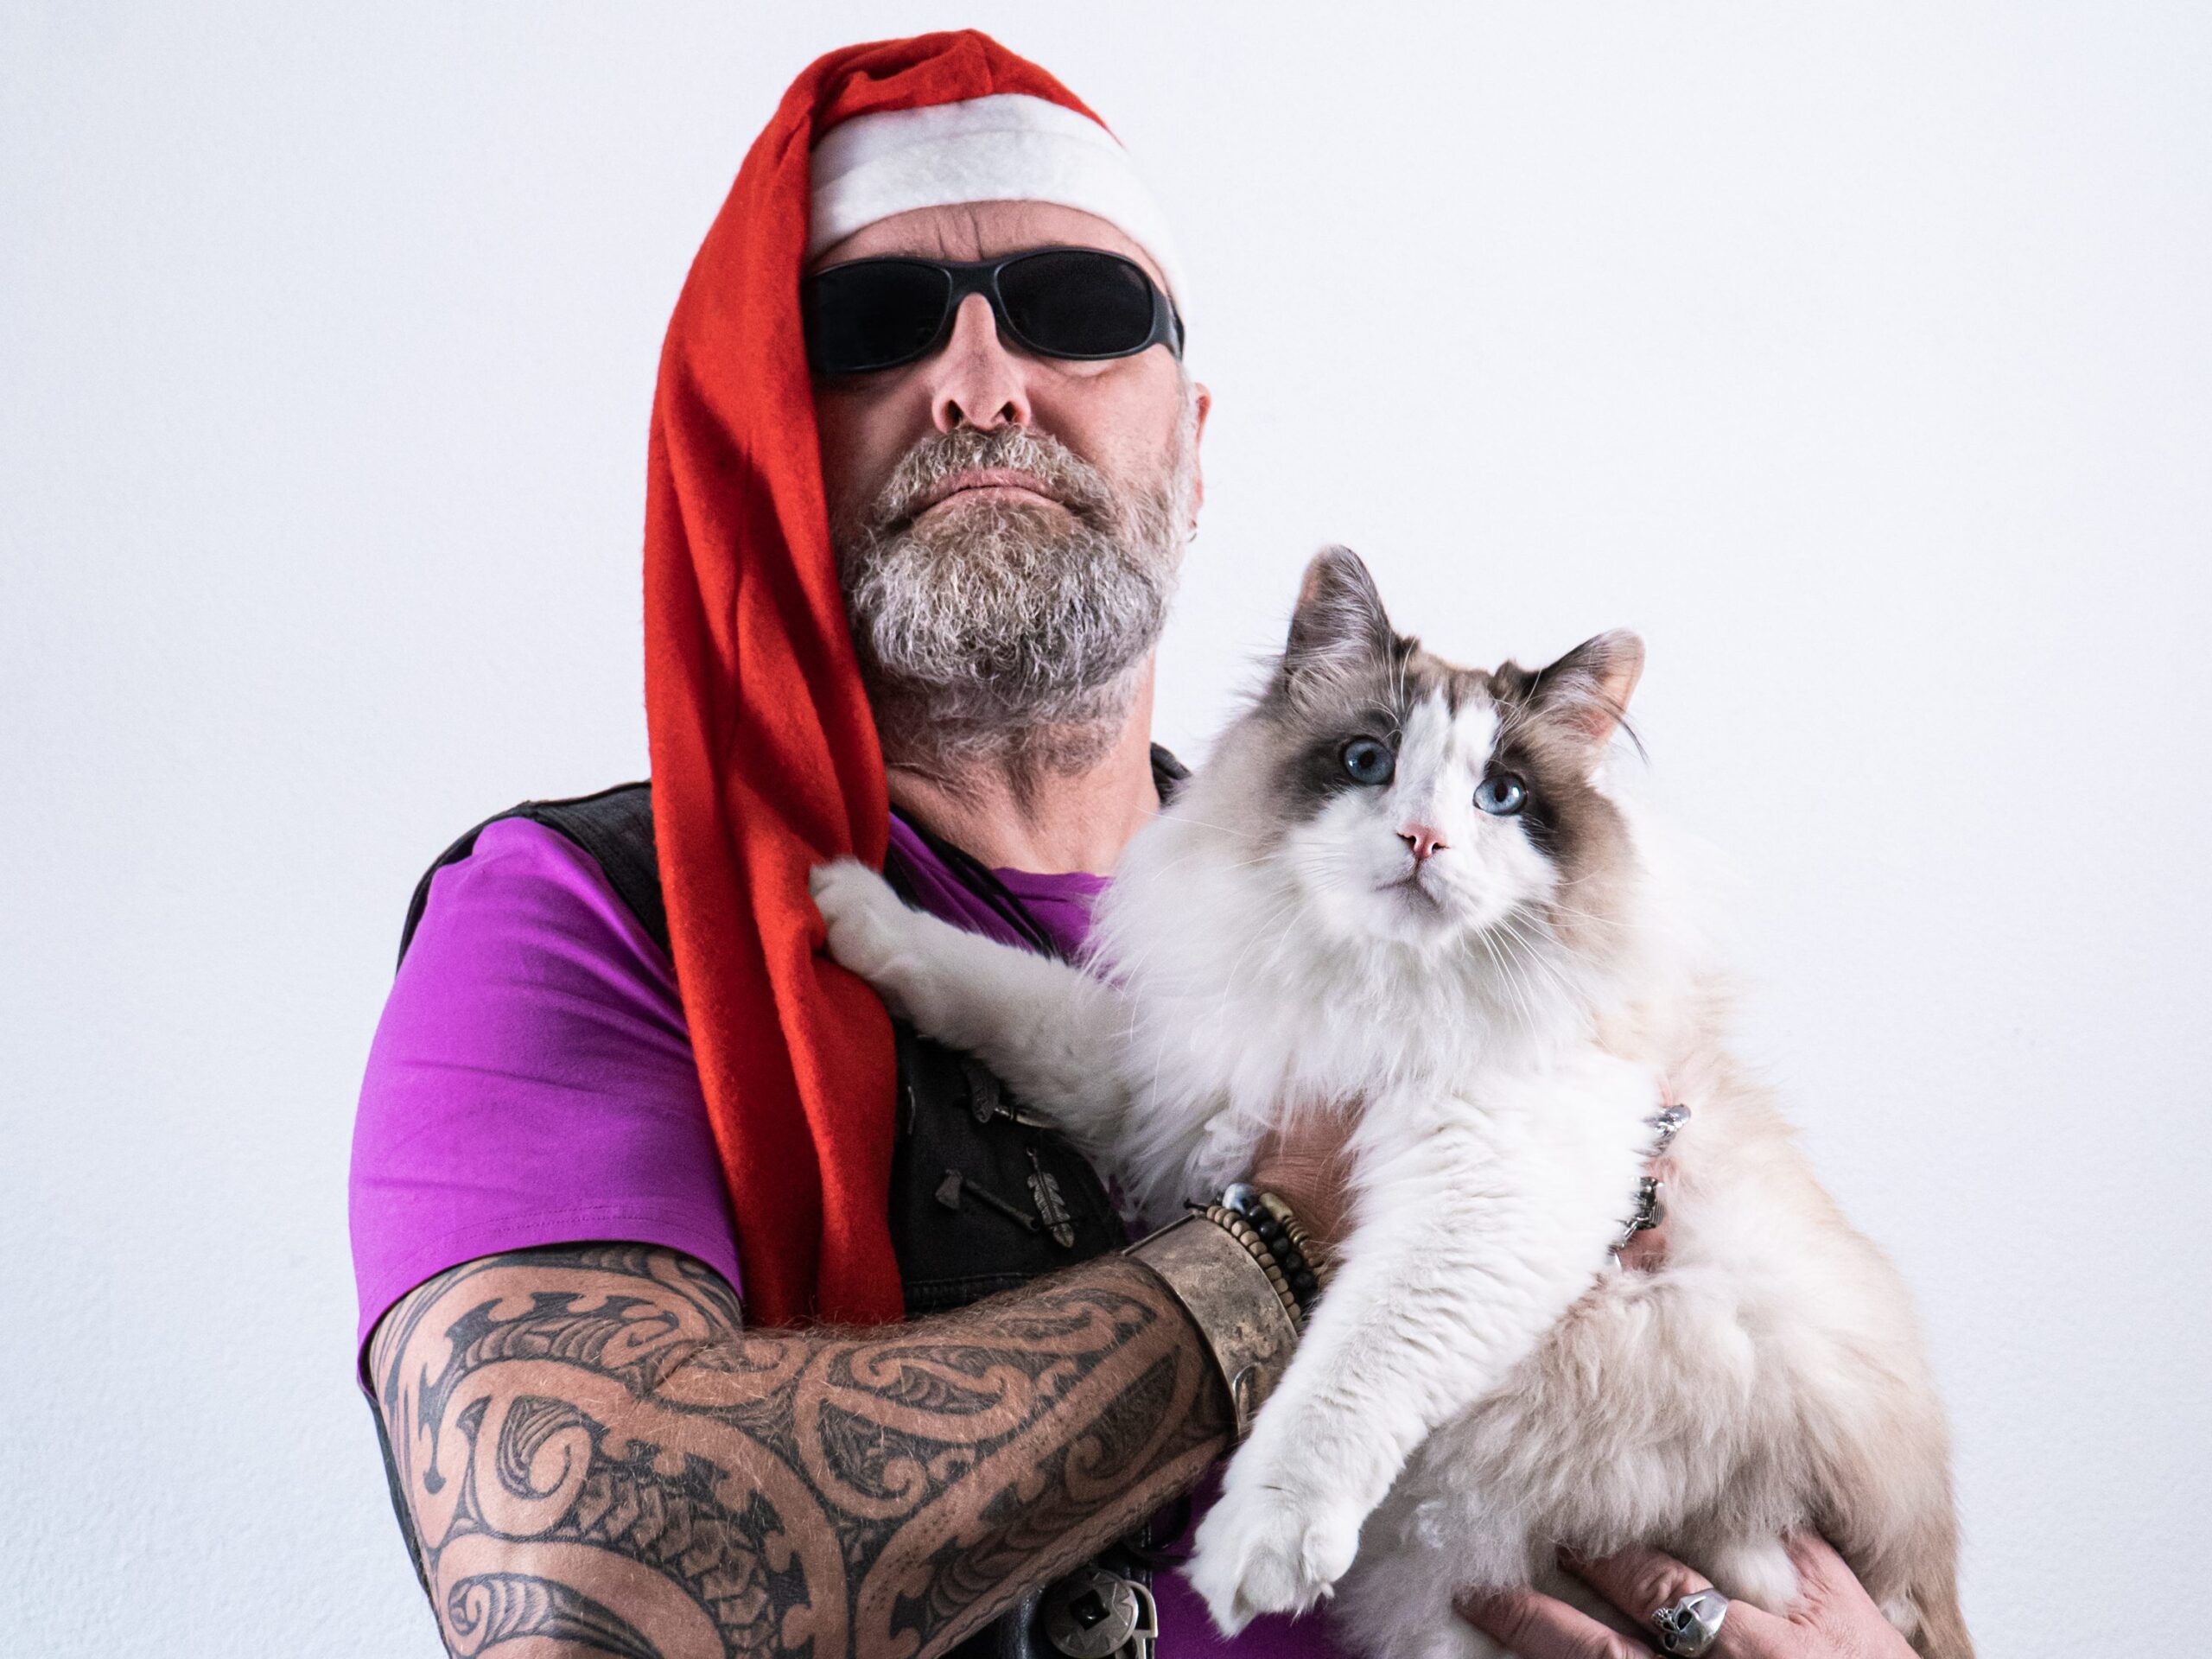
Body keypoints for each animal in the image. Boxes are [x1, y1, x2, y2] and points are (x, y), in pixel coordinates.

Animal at [814, 548, 1973, 1659]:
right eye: (1366, 762)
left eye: (1499, 797)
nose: (1423, 841)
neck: (1369, 991)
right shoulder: (1168, 1077)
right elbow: (994, 986)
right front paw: (847, 907)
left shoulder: (1488, 1188)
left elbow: (1349, 1375)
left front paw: (1262, 1547)